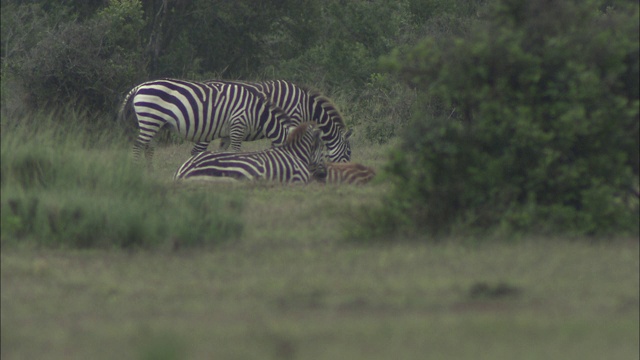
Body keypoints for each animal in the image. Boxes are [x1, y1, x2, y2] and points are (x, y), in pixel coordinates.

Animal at [118, 79, 296, 164]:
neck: (257, 112)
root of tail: (140, 87)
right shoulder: (238, 125)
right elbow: (236, 151)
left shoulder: (228, 133)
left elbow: (223, 151)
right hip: (150, 119)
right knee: (138, 146)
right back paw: (138, 170)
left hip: (156, 124)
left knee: (149, 148)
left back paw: (150, 172)